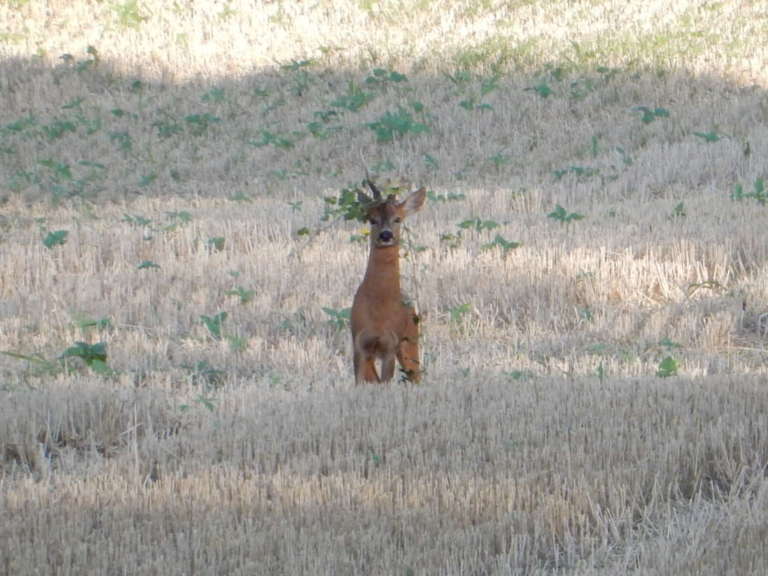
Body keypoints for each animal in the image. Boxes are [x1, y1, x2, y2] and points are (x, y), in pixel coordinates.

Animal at [352, 180, 426, 384]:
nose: (386, 235)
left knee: (416, 376)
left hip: (410, 340)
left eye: (398, 219)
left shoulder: (390, 346)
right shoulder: (359, 344)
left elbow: (385, 382)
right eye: (372, 219)